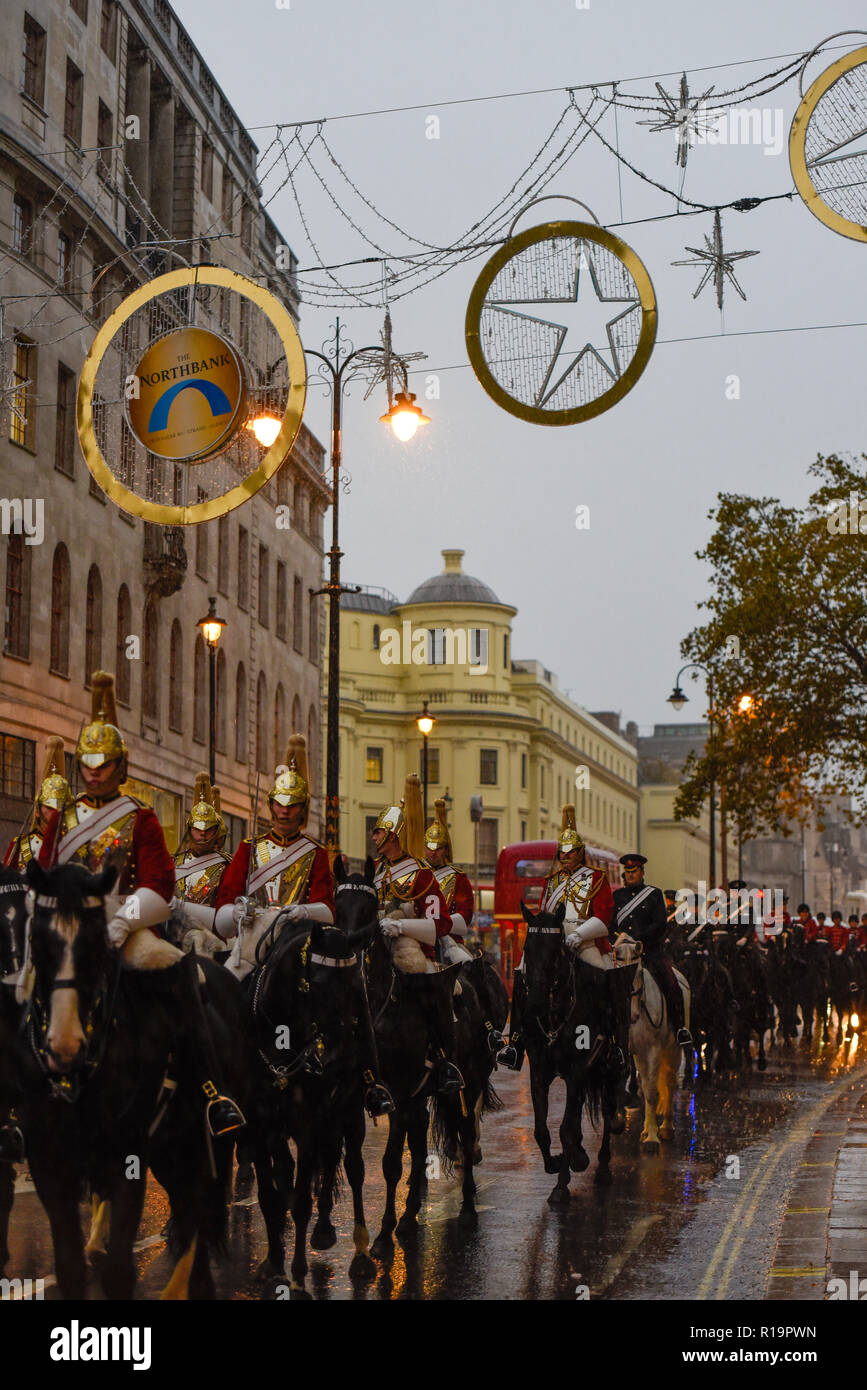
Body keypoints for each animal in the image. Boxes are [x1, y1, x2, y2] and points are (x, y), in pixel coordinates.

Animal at [17, 861, 247, 1295]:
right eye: (38, 940)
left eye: (97, 944)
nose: (65, 1045)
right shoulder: (50, 1164)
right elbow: (70, 1265)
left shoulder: (127, 1158)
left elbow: (119, 1268)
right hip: (170, 1149)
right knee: (187, 1211)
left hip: (201, 1144)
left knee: (199, 1211)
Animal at [247, 895, 375, 1295]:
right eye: (314, 984)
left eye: (356, 986)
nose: (337, 1057)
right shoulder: (259, 1122)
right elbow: (271, 1191)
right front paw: (273, 1261)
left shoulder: (311, 1120)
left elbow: (303, 1196)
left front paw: (299, 1275)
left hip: (348, 1109)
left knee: (353, 1169)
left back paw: (359, 1253)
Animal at [516, 900, 619, 1206]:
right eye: (527, 948)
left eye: (556, 950)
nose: (535, 1004)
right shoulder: (539, 1070)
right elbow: (542, 1129)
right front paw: (558, 1163)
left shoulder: (576, 1071)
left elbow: (564, 1128)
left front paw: (572, 1168)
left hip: (609, 1069)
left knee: (608, 1110)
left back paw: (602, 1164)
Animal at [614, 939, 694, 1156]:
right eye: (617, 967)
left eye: (636, 969)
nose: (631, 1014)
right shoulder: (634, 1051)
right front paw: (645, 1130)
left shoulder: (653, 1050)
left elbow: (651, 1091)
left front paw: (652, 1137)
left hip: (673, 1049)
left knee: (669, 1082)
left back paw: (666, 1127)